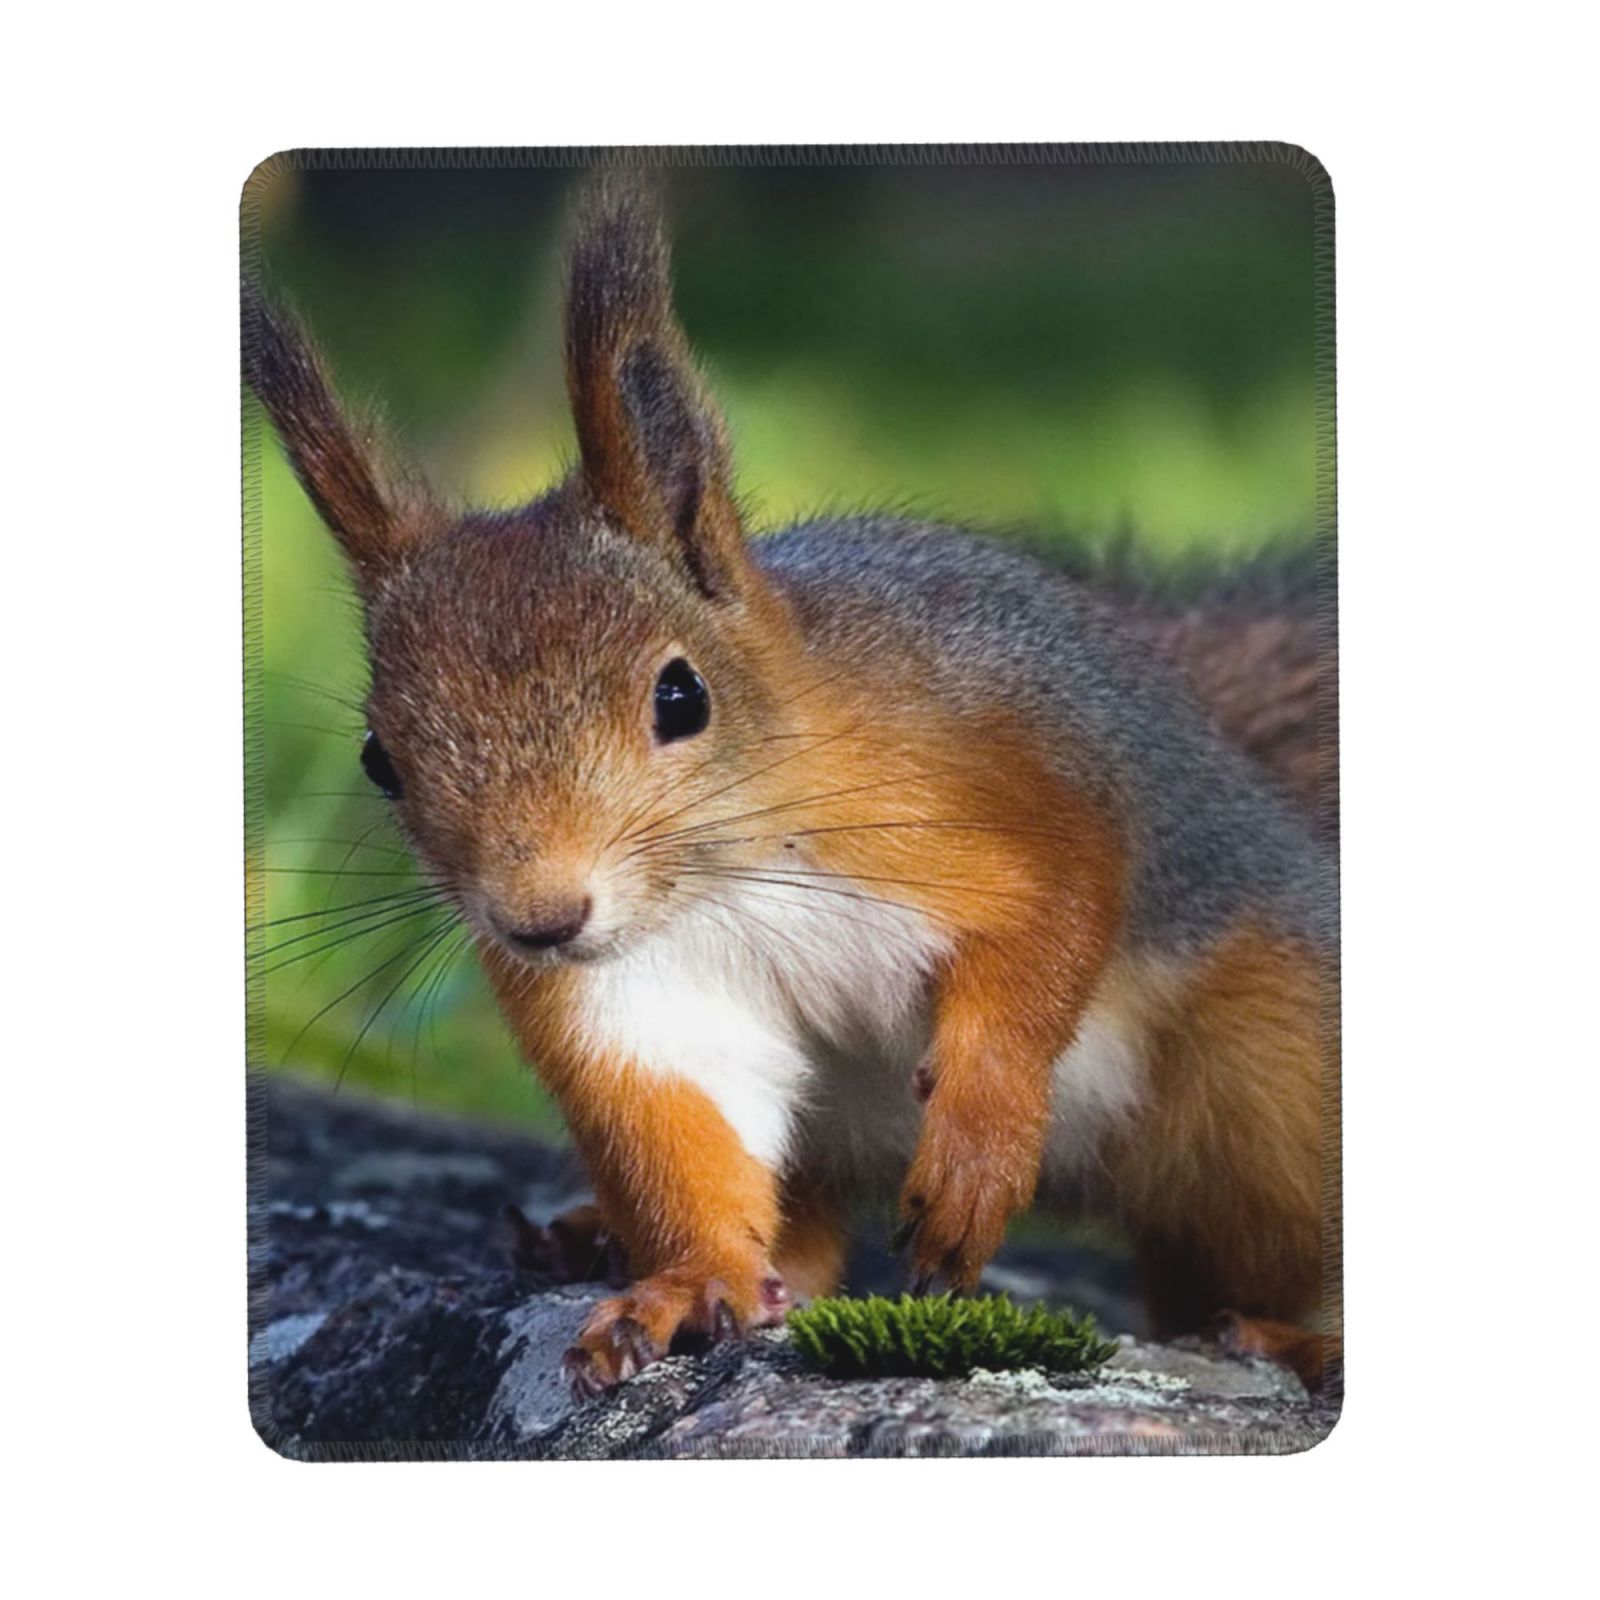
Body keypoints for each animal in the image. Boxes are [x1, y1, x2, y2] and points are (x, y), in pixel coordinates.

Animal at [246, 174, 1338, 1396]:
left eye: (681, 697)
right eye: (378, 758)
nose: (540, 920)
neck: (731, 872)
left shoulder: (1012, 791)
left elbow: (1052, 925)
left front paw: (979, 1141)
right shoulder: (637, 1001)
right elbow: (683, 1122)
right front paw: (688, 1281)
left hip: (1269, 1079)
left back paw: (1298, 1336)